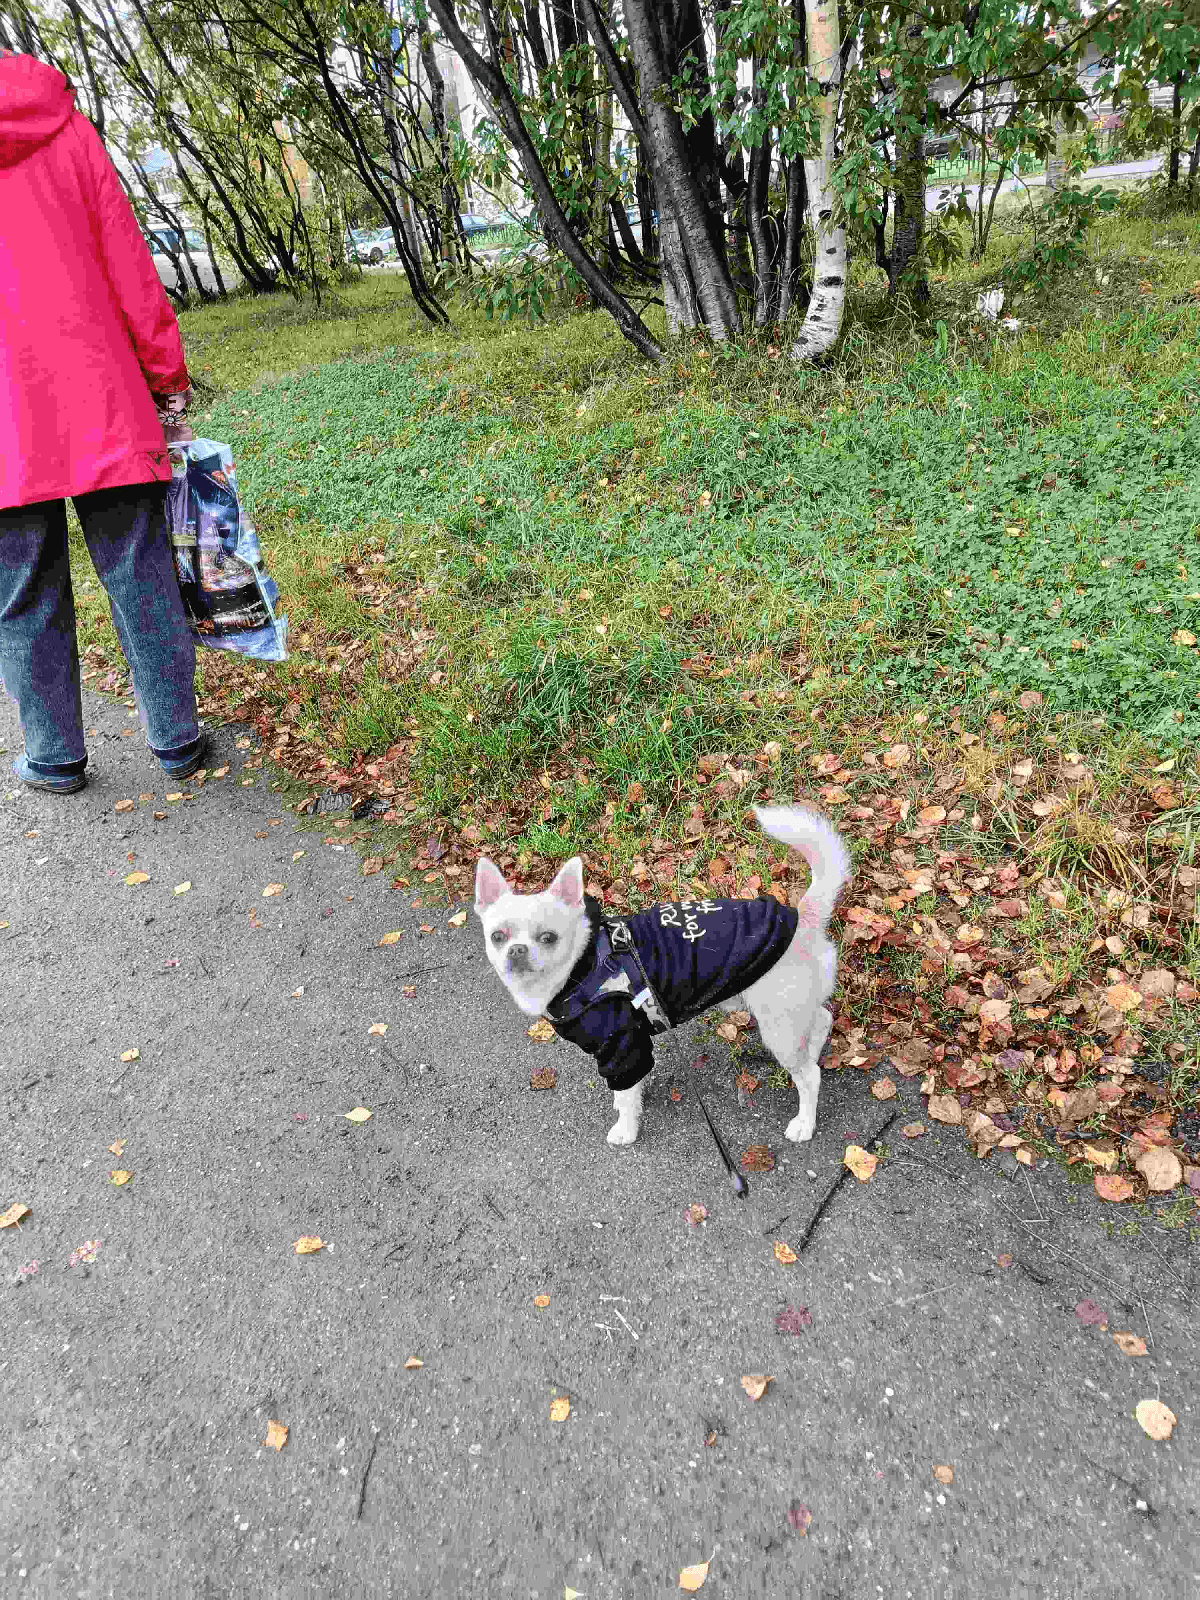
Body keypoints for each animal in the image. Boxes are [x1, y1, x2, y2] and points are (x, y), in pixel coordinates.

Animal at [474, 804, 849, 1148]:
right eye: (498, 936)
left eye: (549, 938)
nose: (517, 950)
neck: (583, 966)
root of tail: (803, 917)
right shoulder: (633, 1044)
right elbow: (629, 1089)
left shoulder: (620, 1047)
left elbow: (627, 1096)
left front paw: (626, 1129)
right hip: (791, 1012)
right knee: (822, 1020)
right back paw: (816, 1046)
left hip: (778, 1027)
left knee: (810, 1076)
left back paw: (804, 1123)